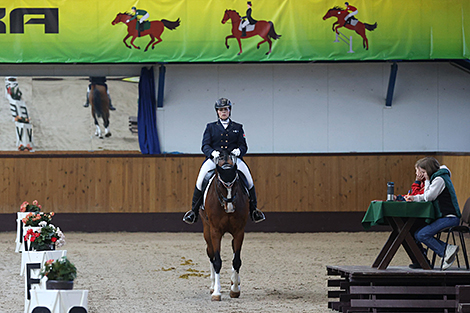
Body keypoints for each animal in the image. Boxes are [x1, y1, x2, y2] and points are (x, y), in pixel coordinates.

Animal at [200, 149, 252, 300]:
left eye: (235, 184)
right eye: (219, 184)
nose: (229, 208)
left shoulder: (239, 231)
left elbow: (237, 261)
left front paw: (234, 289)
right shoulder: (215, 231)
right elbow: (217, 261)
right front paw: (217, 292)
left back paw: (236, 282)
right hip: (207, 230)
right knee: (211, 254)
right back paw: (213, 286)